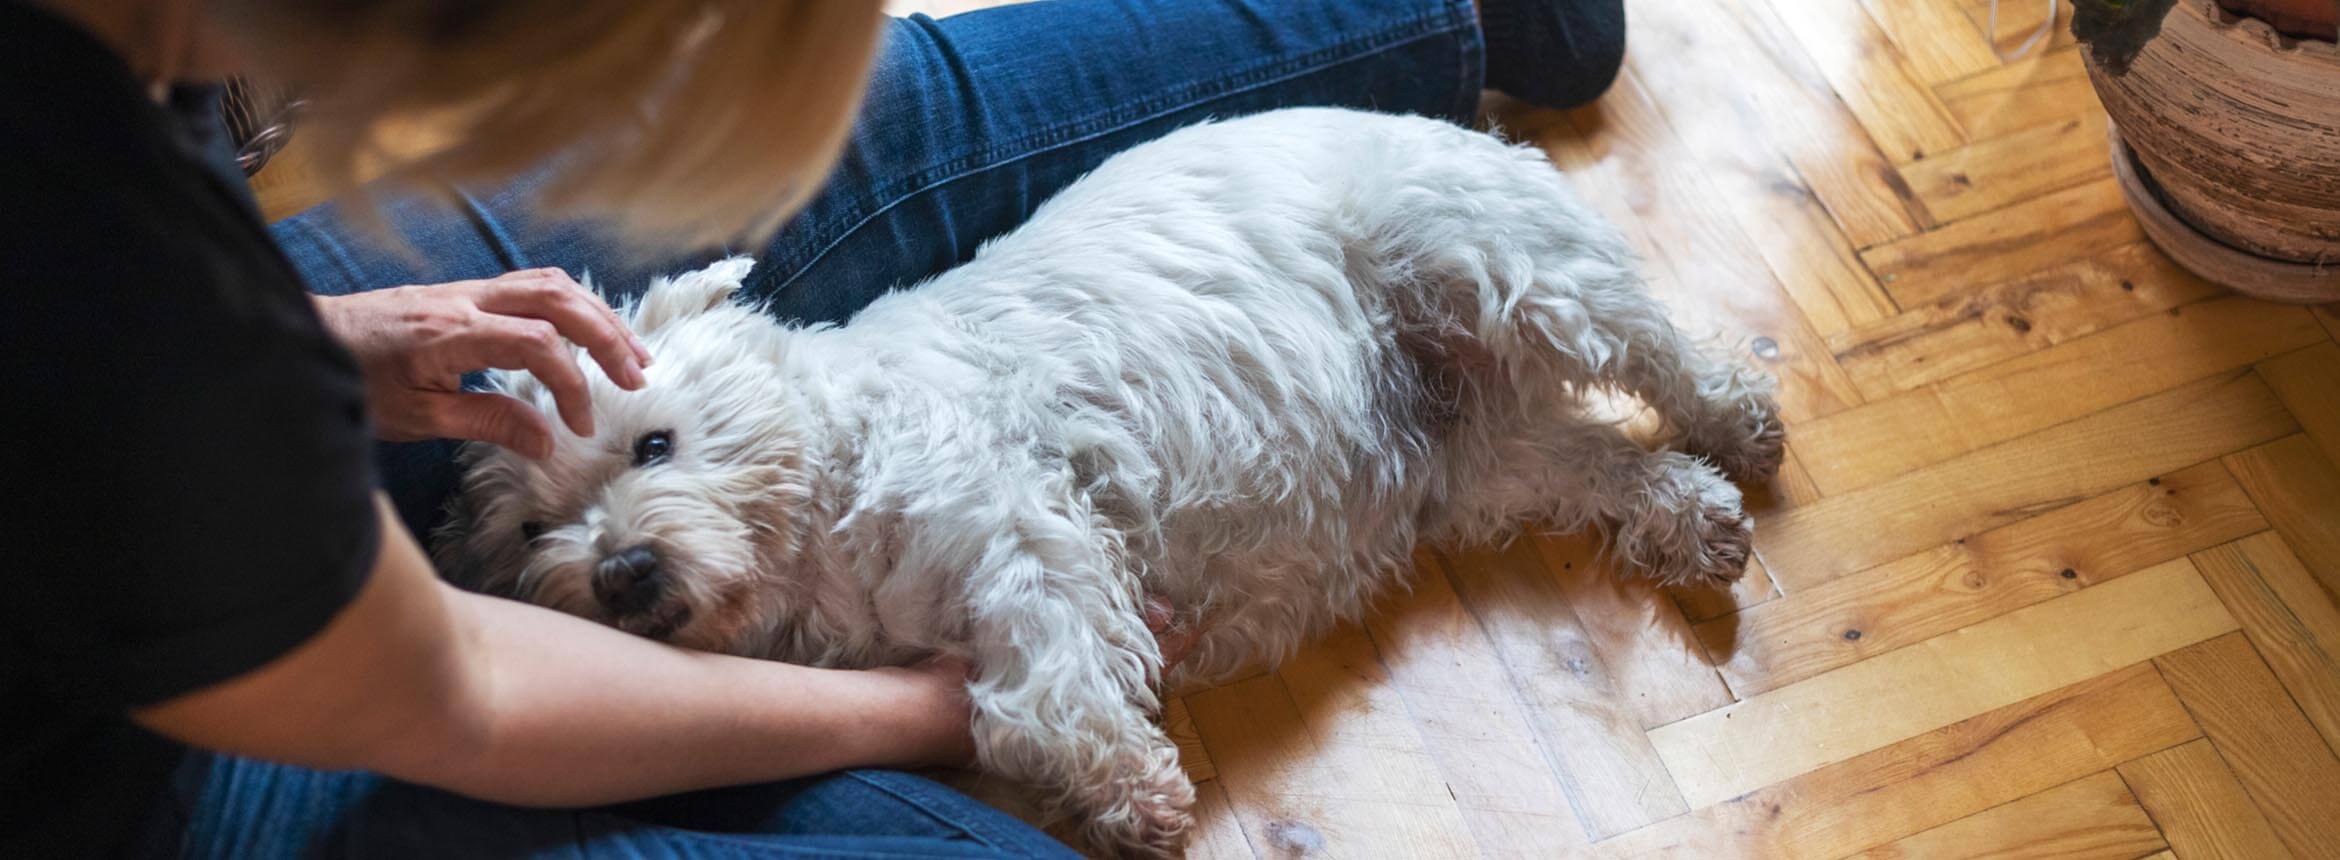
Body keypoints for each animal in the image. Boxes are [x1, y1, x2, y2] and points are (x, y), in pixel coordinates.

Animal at [439, 109, 1778, 860]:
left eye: (653, 443)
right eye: (536, 528)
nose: (622, 571)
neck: (822, 544)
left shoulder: (1025, 531)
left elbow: (1038, 691)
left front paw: (1132, 790)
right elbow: (1005, 709)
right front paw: (1114, 795)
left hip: (1496, 266)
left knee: (1665, 358)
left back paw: (1745, 427)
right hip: (1470, 462)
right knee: (1595, 458)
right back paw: (1693, 518)